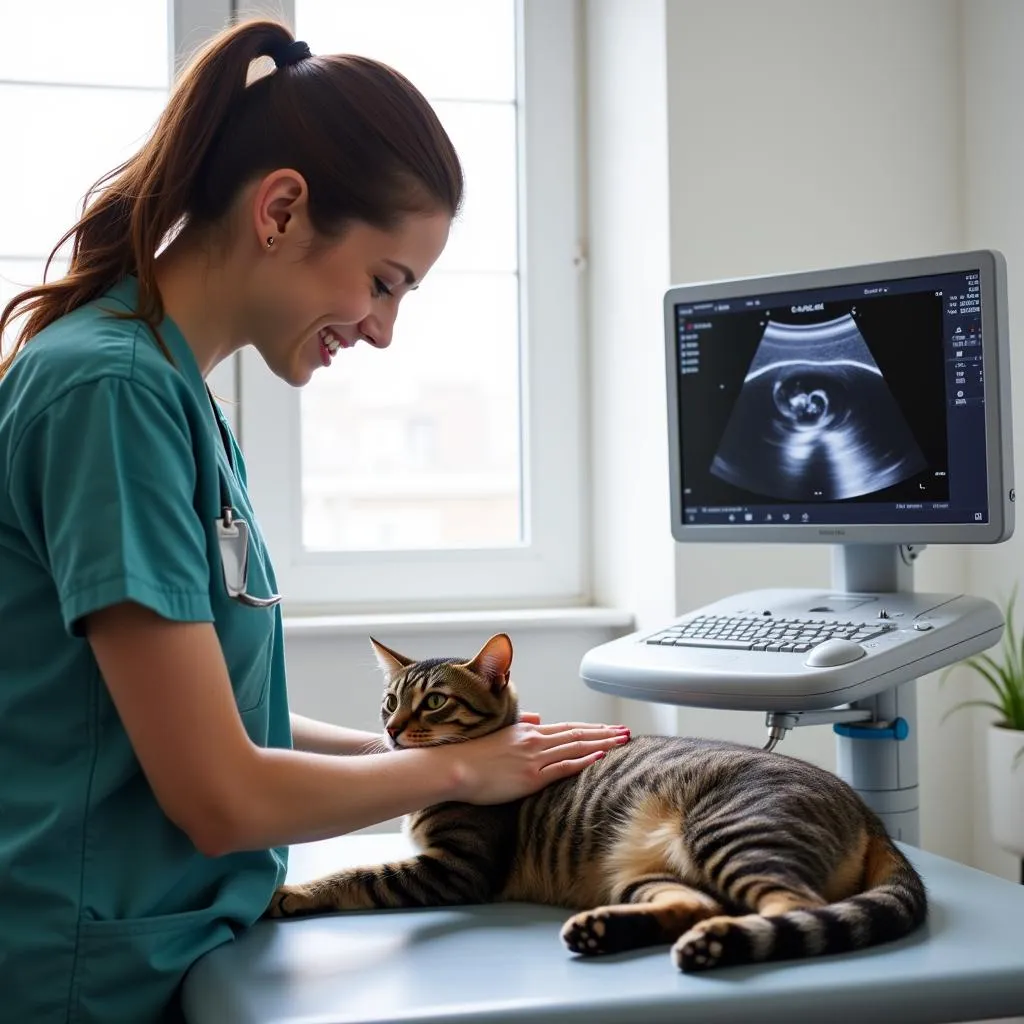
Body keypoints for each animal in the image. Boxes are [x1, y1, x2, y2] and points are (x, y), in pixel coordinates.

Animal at [268, 626, 933, 970]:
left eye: (433, 702)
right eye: (389, 701)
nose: (391, 730)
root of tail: (868, 812)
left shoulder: (455, 868)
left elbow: (360, 874)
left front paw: (293, 892)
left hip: (733, 835)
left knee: (790, 908)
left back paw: (722, 945)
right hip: (639, 871)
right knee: (697, 904)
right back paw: (605, 932)